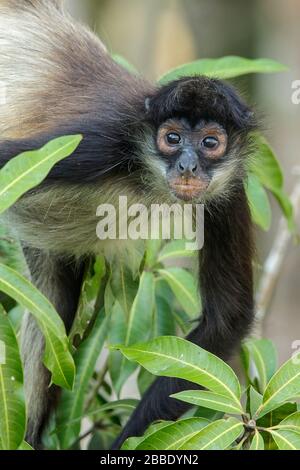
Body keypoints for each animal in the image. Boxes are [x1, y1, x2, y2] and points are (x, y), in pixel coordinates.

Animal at [0, 0, 255, 448]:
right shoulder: (98, 142)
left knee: (56, 309)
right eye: (172, 139)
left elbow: (227, 317)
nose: (187, 165)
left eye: (210, 142)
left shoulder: (230, 187)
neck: (146, 177)